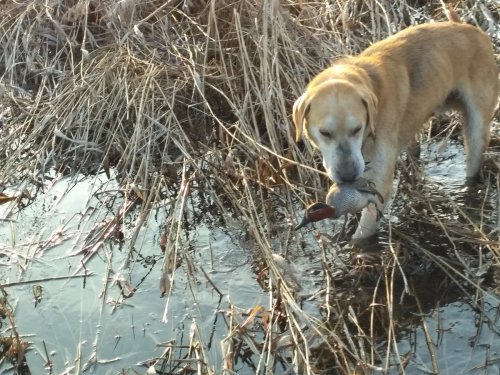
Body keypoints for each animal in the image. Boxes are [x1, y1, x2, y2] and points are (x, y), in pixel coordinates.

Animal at [294, 12, 498, 241]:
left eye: (357, 129)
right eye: (325, 133)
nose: (348, 177)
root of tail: (471, 28)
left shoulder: (379, 183)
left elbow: (363, 233)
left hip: (476, 132)